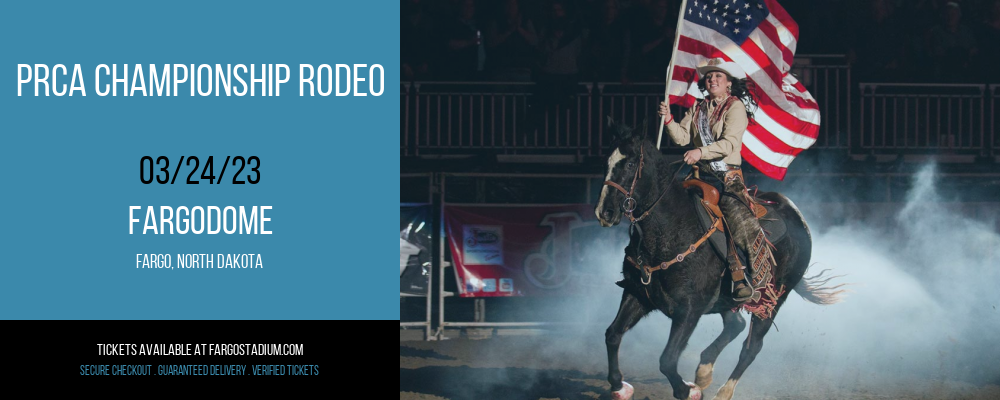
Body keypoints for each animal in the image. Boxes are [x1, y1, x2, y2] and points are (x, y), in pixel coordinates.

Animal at [592, 122, 844, 400]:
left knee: (752, 346)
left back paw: (723, 391)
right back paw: (703, 371)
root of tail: (798, 217)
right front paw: (619, 386)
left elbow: (667, 360)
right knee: (736, 324)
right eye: (606, 162)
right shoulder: (637, 294)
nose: (604, 212)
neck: (670, 229)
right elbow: (612, 335)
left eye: (629, 164)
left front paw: (687, 390)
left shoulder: (689, 309)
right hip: (728, 300)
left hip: (774, 298)